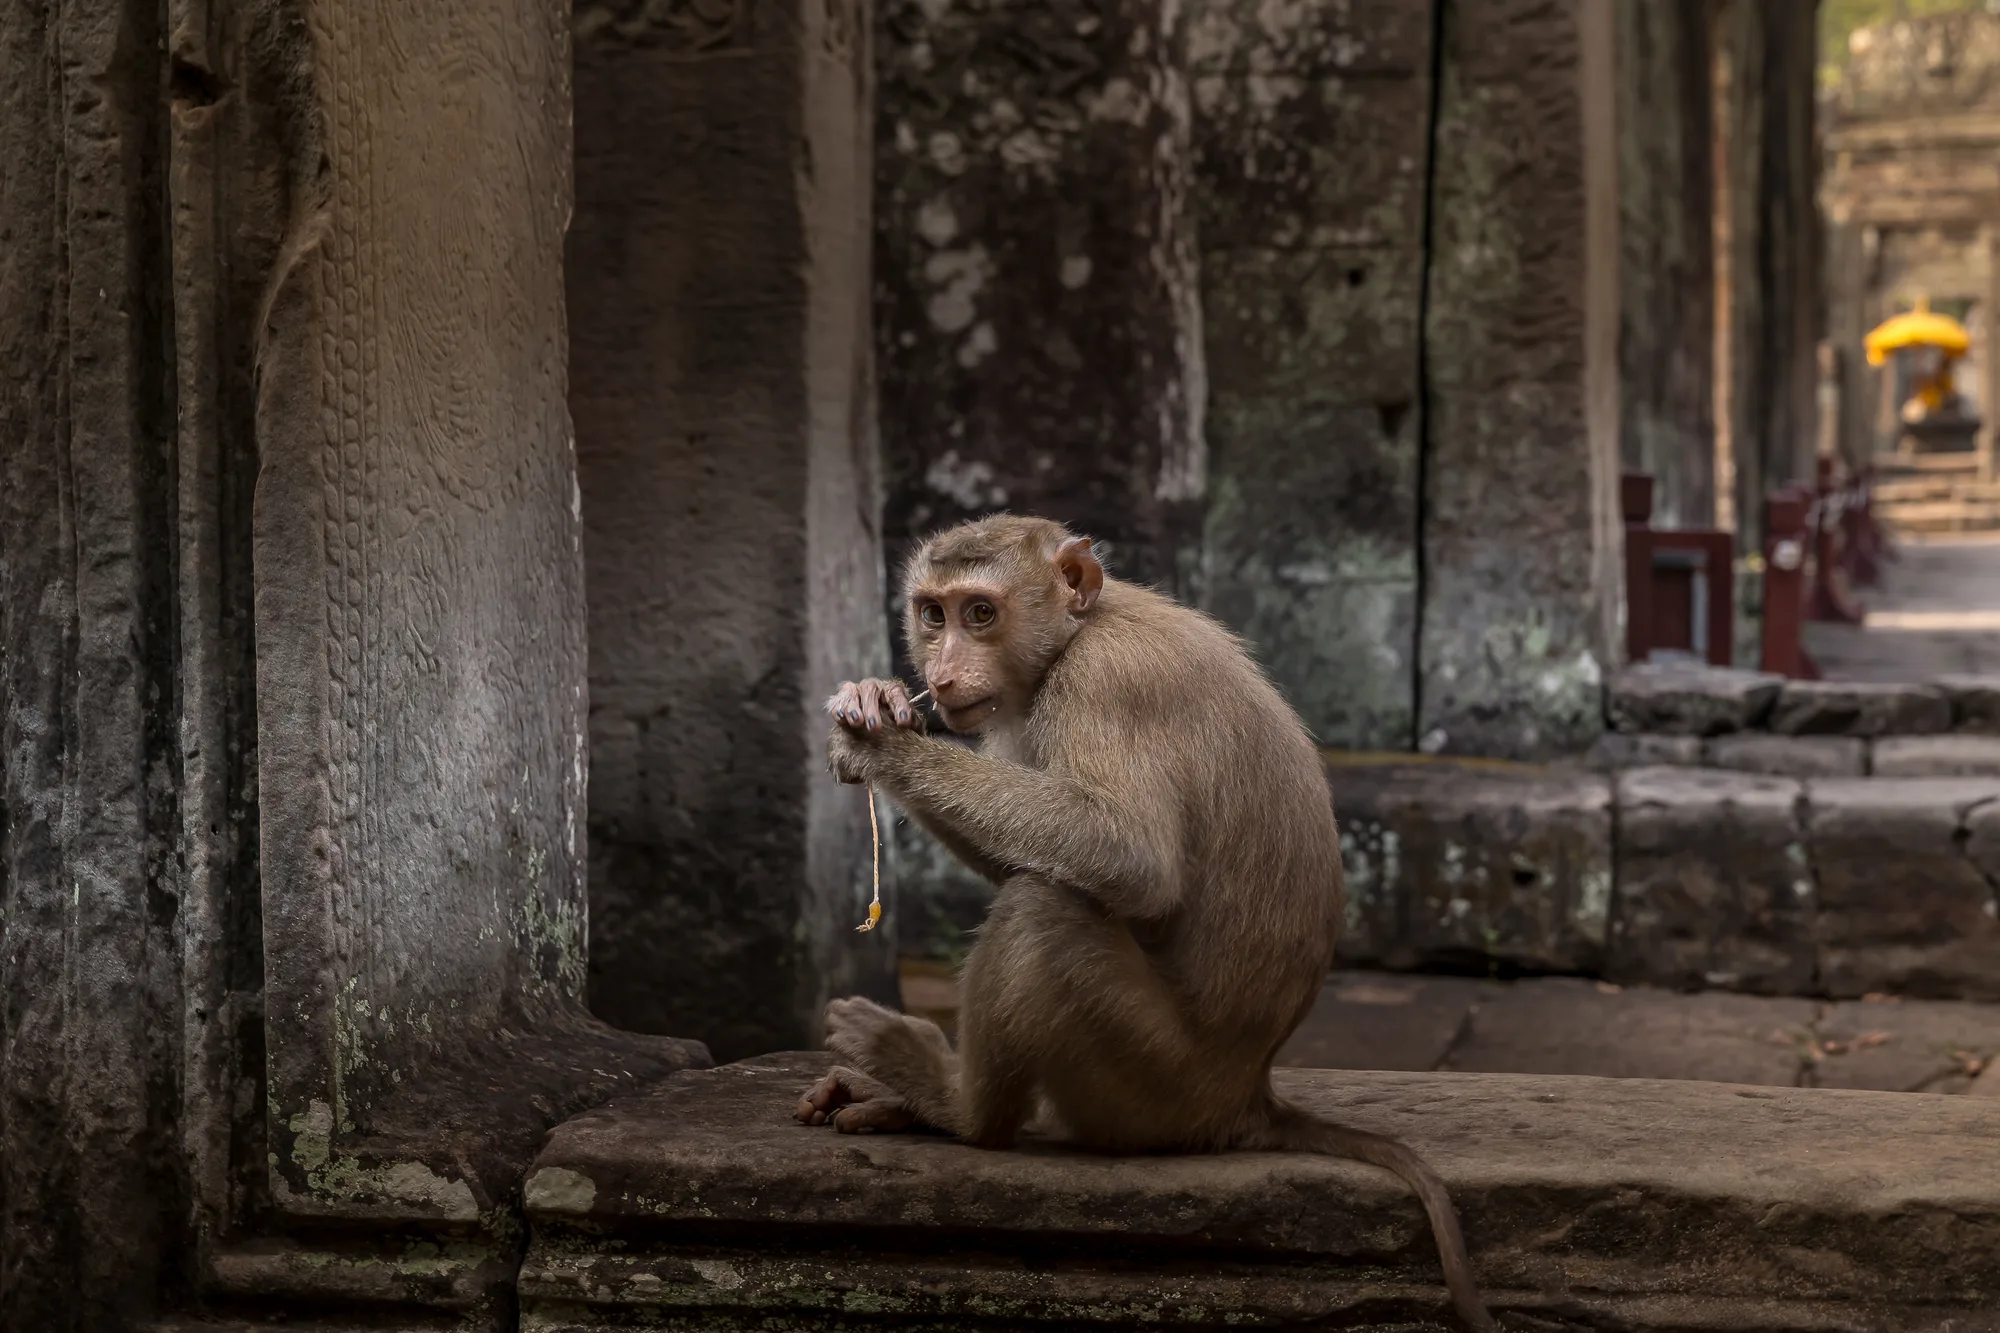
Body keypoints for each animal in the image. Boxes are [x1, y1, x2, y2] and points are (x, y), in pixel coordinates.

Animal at [796, 514, 1493, 1333]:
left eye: (981, 613)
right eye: (933, 614)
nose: (938, 674)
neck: (1079, 629)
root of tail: (1247, 1095)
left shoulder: (1106, 683)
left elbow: (1126, 858)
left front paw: (881, 745)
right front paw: (876, 699)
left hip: (1148, 1083)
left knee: (1045, 908)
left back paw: (954, 1106)